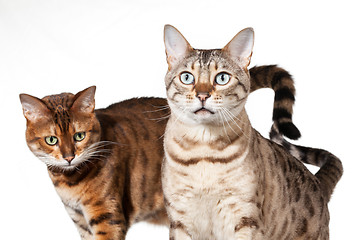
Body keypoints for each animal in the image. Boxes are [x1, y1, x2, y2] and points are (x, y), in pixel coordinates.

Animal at [19, 64, 300, 239]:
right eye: (52, 139)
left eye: (79, 136)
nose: (69, 156)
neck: (70, 181)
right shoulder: (81, 222)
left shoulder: (107, 218)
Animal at [161, 24, 342, 240]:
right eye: (187, 77)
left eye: (222, 78)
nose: (202, 95)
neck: (203, 150)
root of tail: (318, 182)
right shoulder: (179, 219)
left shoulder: (245, 217)